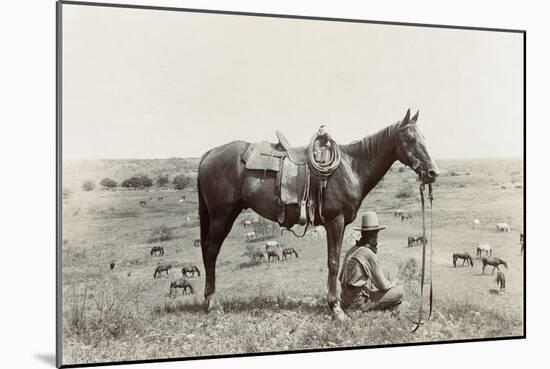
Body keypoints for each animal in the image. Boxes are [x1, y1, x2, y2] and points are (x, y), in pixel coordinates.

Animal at [197, 109, 440, 320]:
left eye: (424, 137)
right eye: (410, 139)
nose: (432, 172)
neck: (350, 167)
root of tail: (210, 154)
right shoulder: (336, 222)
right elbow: (333, 262)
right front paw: (335, 307)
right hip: (221, 216)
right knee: (211, 252)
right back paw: (213, 302)